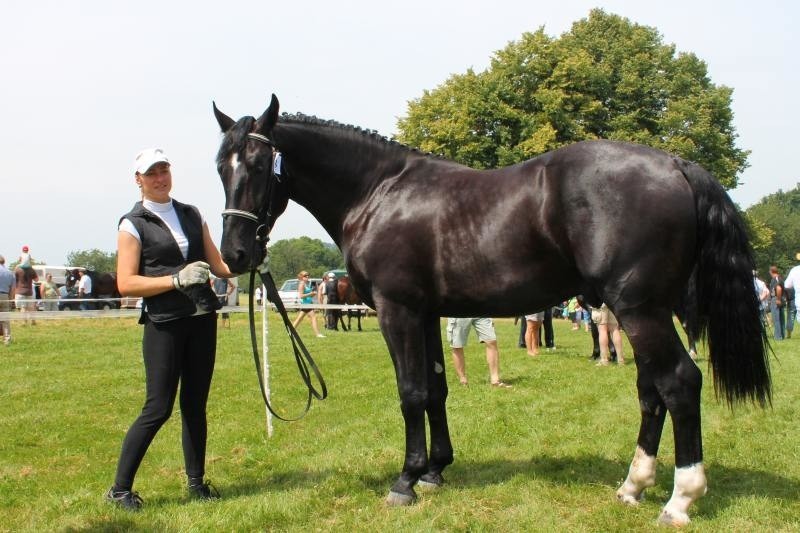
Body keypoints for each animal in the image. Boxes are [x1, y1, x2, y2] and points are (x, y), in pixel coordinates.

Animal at [212, 95, 768, 524]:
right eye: (221, 167)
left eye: (259, 166)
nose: (235, 254)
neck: (379, 192)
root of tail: (676, 165)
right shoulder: (428, 314)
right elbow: (435, 389)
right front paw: (435, 471)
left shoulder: (398, 311)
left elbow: (411, 392)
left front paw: (405, 480)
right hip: (645, 312)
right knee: (651, 389)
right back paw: (633, 486)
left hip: (640, 310)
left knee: (678, 383)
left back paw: (680, 499)